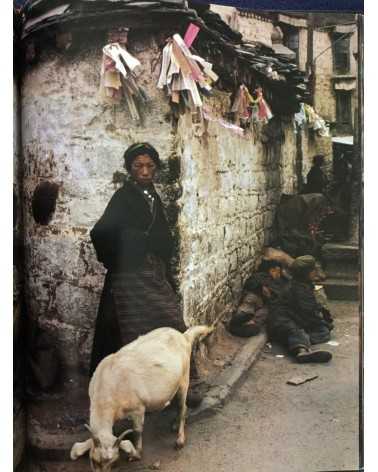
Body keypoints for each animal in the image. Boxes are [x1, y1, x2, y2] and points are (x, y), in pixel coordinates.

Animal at [70, 326, 213, 470]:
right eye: (94, 461)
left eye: (114, 464)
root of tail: (184, 337)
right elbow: (77, 449)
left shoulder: (138, 408)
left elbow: (137, 431)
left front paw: (136, 454)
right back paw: (175, 424)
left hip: (184, 378)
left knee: (182, 407)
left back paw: (180, 440)